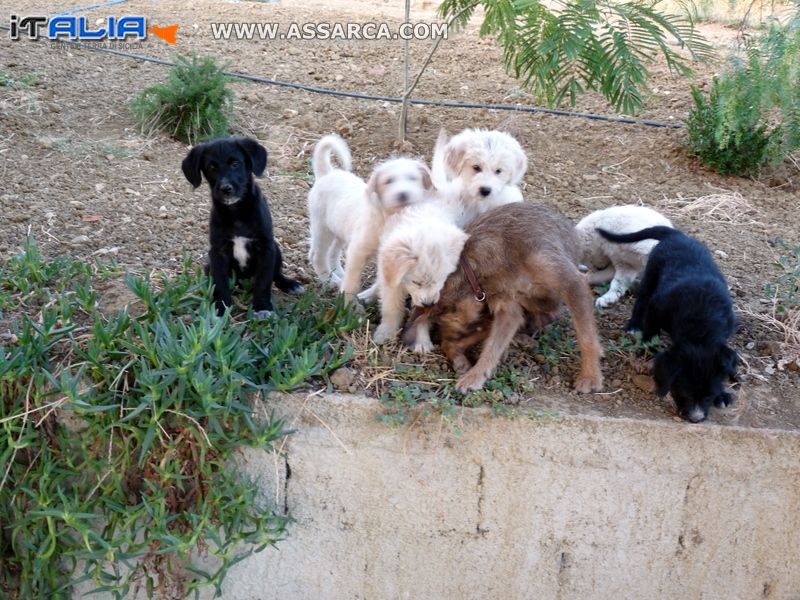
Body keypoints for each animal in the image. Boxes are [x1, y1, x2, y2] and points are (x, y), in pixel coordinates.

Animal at [181, 137, 304, 316]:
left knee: (276, 274)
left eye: (235, 164)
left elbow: (264, 281)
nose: (226, 189)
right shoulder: (218, 252)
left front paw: (262, 307)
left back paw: (290, 284)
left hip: (276, 249)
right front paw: (220, 308)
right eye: (211, 167)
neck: (236, 212)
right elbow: (220, 283)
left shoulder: (265, 247)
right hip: (209, 264)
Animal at [308, 137, 434, 304]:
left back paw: (338, 275)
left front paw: (369, 297)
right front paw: (349, 306)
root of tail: (327, 173)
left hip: (339, 231)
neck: (389, 218)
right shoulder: (358, 250)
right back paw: (331, 281)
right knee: (317, 256)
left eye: (413, 178)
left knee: (332, 254)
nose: (403, 194)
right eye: (389, 181)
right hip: (322, 228)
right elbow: (352, 281)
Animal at [374, 203, 468, 346]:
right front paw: (386, 332)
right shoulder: (389, 277)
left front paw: (422, 342)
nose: (428, 303)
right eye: (415, 282)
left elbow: (424, 315)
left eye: (441, 280)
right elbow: (391, 305)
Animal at [410, 204, 604, 396]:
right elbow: (492, 347)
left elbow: (586, 337)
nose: (441, 336)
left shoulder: (572, 284)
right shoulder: (506, 309)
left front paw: (591, 376)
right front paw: (477, 375)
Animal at [592, 225, 736, 422]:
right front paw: (647, 353)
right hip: (651, 273)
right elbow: (651, 332)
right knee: (642, 300)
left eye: (708, 396)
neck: (702, 326)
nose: (696, 419)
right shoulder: (657, 307)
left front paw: (722, 394)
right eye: (685, 394)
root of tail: (677, 235)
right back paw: (634, 326)